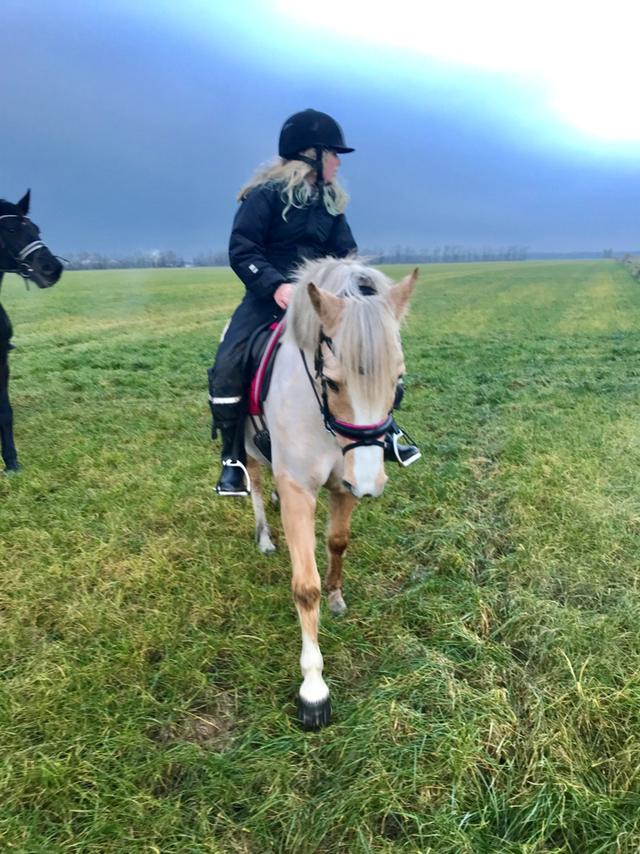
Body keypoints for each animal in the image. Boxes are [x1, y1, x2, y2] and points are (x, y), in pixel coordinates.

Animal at [243, 256, 417, 728]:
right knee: (255, 484)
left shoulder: (346, 480)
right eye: (335, 383)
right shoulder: (299, 489)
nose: (372, 484)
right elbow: (306, 588)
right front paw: (313, 690)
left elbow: (338, 541)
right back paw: (264, 536)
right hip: (245, 449)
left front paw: (337, 597)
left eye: (398, 381)